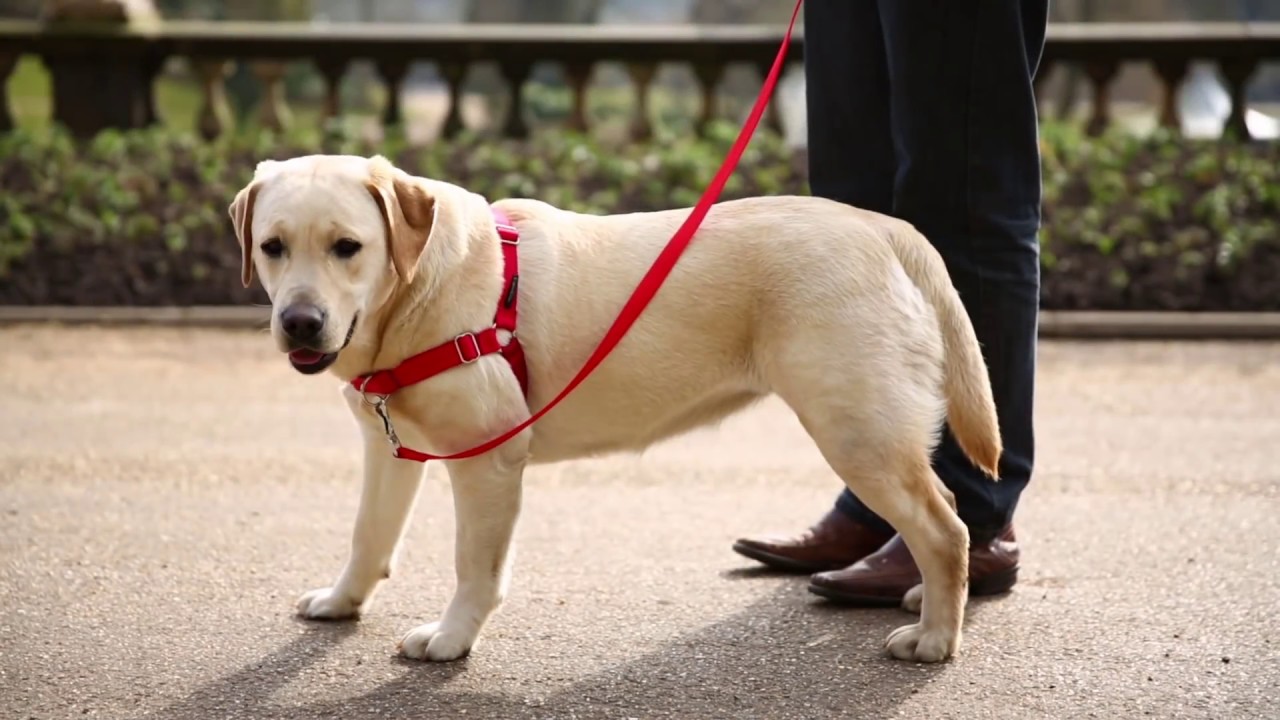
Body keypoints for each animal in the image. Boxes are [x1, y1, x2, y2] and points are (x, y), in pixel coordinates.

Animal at [227, 151, 998, 661]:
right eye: (272, 247)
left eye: (347, 247)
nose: (300, 323)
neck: (414, 293)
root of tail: (881, 227)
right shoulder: (386, 445)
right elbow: (368, 535)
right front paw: (343, 602)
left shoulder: (487, 460)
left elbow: (473, 565)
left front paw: (450, 638)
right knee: (943, 512)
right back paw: (928, 600)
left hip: (855, 429)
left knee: (944, 528)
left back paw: (936, 635)